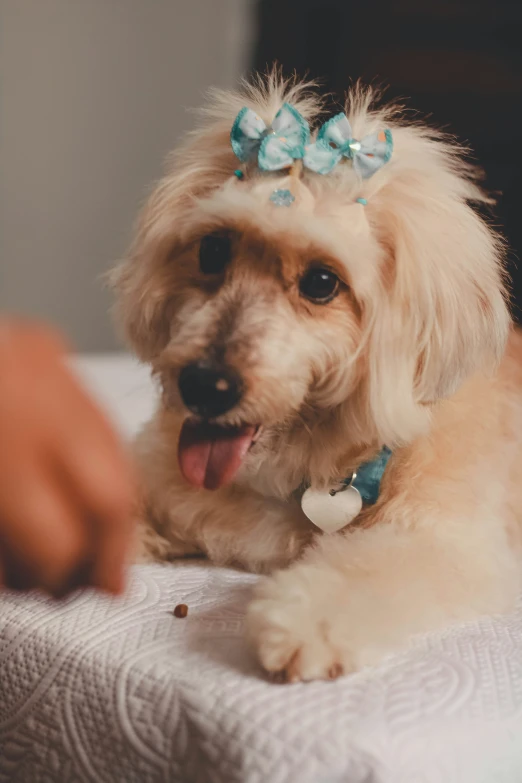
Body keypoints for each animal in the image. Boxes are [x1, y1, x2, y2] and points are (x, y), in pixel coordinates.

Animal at [111, 76, 520, 684]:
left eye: (322, 282)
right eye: (213, 250)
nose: (204, 386)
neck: (312, 464)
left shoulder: (447, 542)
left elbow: (365, 568)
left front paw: (301, 623)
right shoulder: (164, 475)